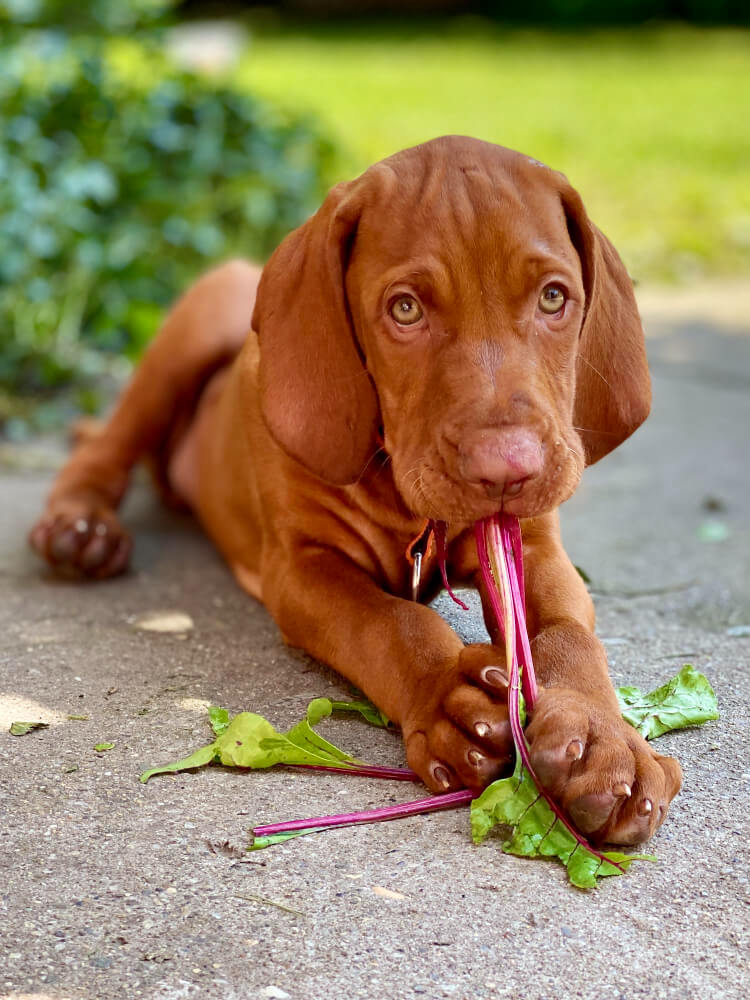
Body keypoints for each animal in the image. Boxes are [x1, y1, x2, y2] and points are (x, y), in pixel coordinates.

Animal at [29, 135, 684, 844]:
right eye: (405, 309)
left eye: (554, 298)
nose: (506, 471)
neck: (404, 498)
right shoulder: (302, 570)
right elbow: (388, 621)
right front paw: (446, 693)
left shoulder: (534, 548)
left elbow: (567, 636)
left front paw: (604, 740)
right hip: (191, 328)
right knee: (106, 445)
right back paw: (80, 531)